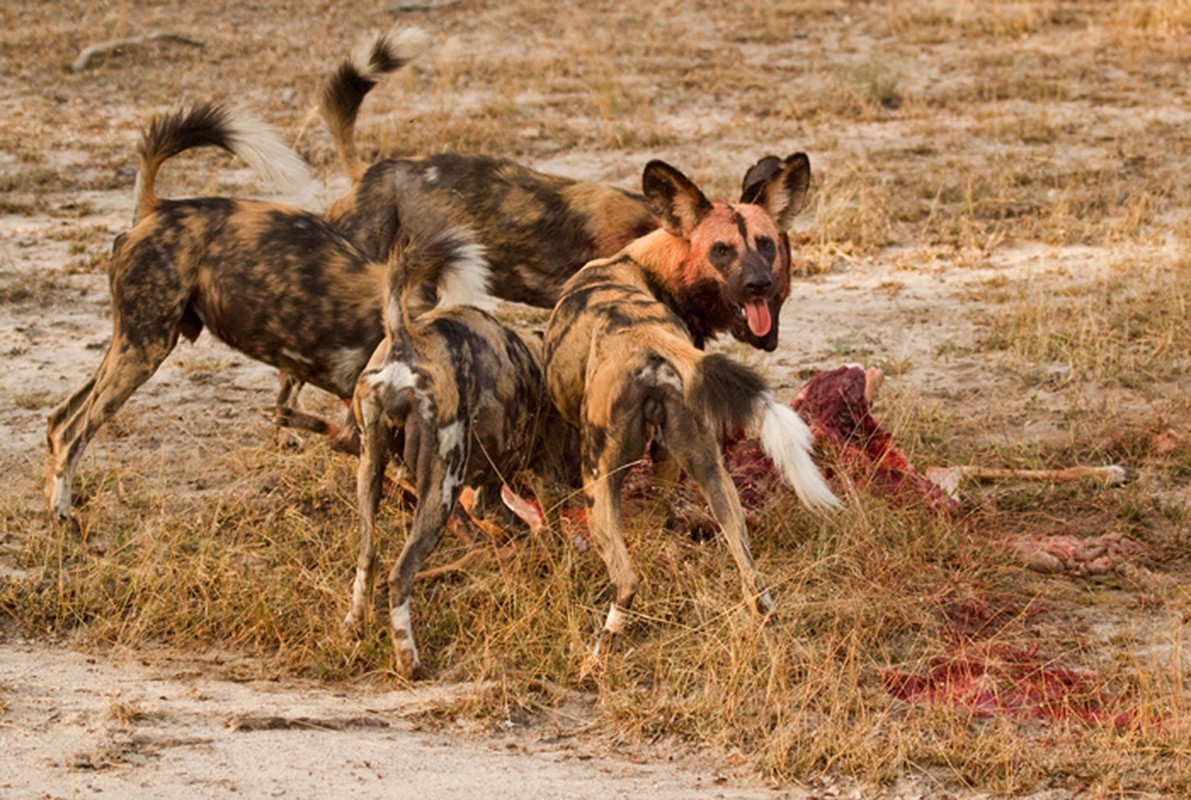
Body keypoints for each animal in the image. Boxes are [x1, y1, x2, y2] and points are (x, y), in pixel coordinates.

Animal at [45, 102, 483, 519]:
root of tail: (158, 209)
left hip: (133, 345)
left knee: (59, 418)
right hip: (143, 350)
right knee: (72, 433)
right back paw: (63, 513)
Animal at [345, 204, 566, 676]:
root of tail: (406, 340)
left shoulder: (490, 486)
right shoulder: (548, 477)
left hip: (370, 472)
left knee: (368, 558)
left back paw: (353, 625)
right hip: (440, 489)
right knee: (399, 575)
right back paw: (410, 662)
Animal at [545, 159, 843, 642]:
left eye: (764, 245)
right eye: (722, 250)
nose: (759, 284)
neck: (645, 266)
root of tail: (647, 335)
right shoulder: (671, 453)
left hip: (598, 480)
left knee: (626, 581)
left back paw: (604, 644)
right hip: (713, 473)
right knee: (752, 578)